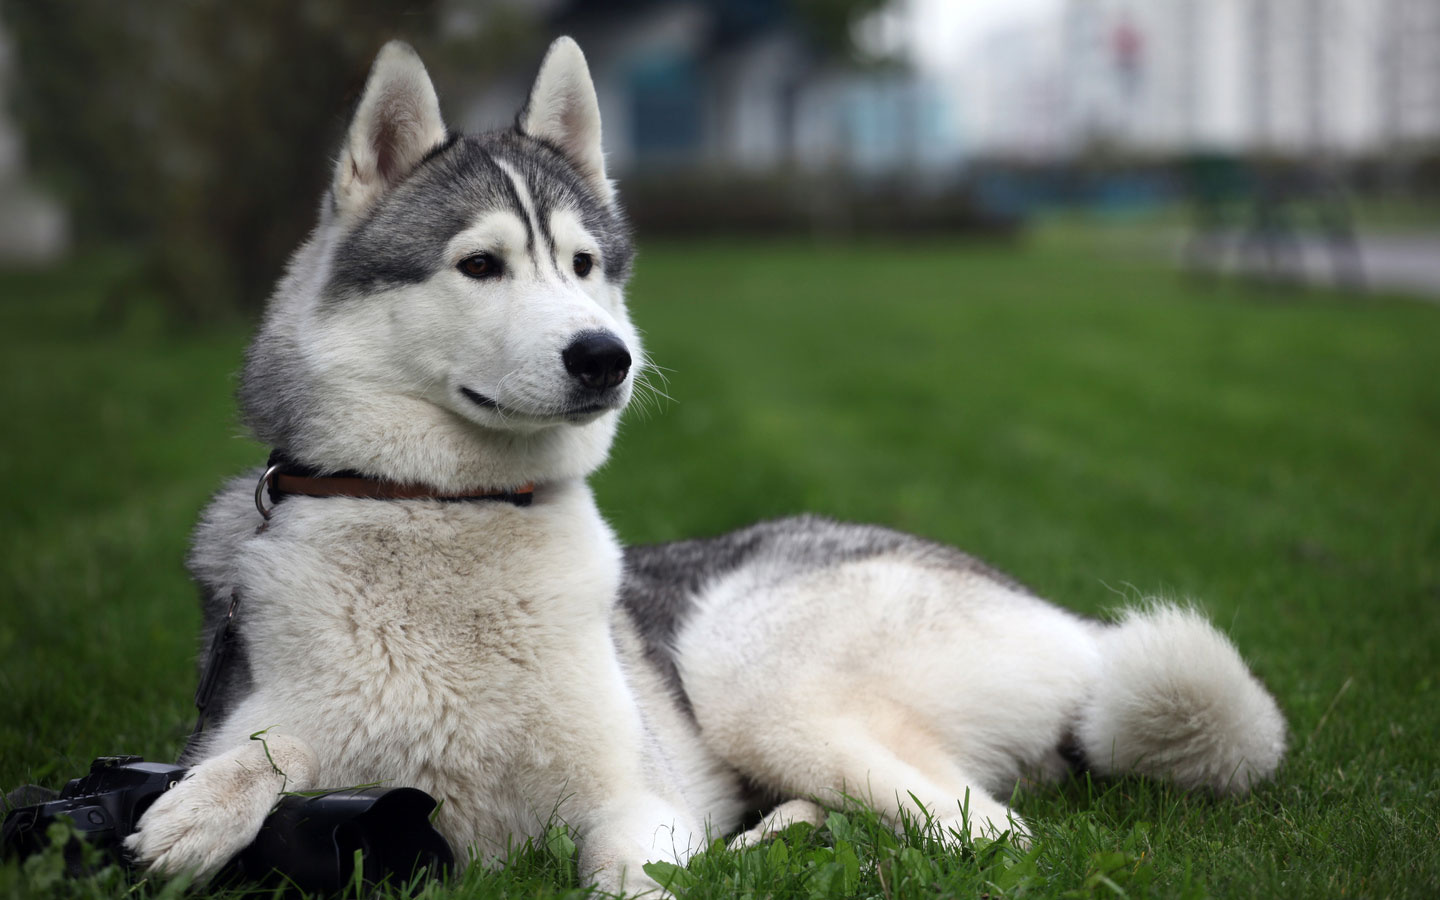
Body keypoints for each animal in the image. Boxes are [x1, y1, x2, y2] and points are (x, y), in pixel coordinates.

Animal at [129, 40, 1290, 892]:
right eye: (480, 264)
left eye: (584, 265)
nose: (606, 355)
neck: (447, 511)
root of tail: (1068, 623)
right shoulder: (267, 718)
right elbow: (266, 747)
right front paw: (201, 809)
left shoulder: (635, 802)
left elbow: (628, 875)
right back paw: (779, 841)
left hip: (746, 664)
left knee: (988, 832)